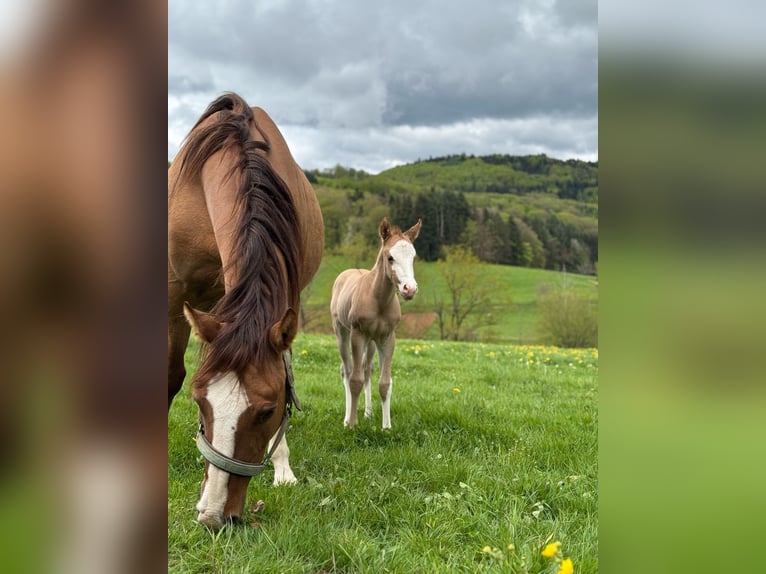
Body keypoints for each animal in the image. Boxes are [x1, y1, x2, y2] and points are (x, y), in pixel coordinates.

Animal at [168, 93, 324, 530]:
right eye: (200, 402)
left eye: (267, 411)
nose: (213, 515)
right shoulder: (173, 292)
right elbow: (171, 375)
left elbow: (286, 375)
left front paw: (283, 467)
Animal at [330, 217, 422, 430]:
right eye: (390, 257)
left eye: (413, 257)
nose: (410, 289)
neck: (378, 300)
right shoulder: (358, 334)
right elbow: (355, 379)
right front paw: (352, 424)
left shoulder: (387, 337)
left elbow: (385, 382)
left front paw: (386, 427)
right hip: (342, 332)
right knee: (347, 370)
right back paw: (347, 417)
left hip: (372, 341)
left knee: (367, 369)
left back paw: (368, 412)